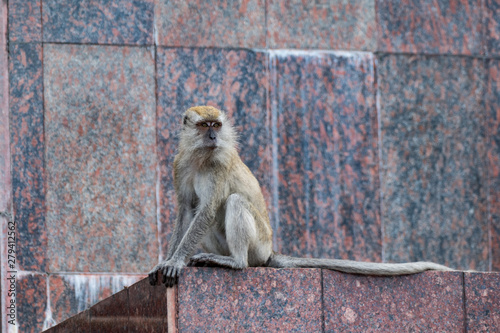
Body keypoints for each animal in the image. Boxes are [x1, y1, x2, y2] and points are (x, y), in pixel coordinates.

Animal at [147, 105, 450, 286]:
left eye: (216, 125)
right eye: (203, 126)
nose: (213, 138)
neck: (201, 158)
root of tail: (270, 252)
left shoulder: (218, 165)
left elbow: (207, 211)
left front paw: (175, 261)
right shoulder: (180, 164)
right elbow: (187, 210)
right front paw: (166, 261)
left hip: (259, 246)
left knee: (234, 203)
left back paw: (236, 262)